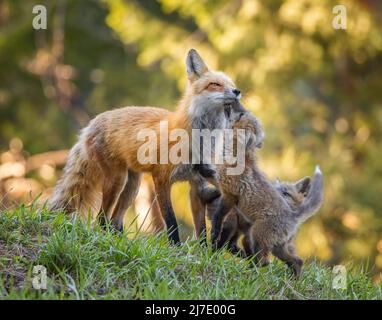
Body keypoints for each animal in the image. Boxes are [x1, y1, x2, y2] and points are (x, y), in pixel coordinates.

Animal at [49, 49, 243, 242]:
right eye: (215, 84)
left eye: (231, 84)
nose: (237, 91)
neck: (197, 140)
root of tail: (90, 124)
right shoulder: (161, 179)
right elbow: (171, 221)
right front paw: (176, 246)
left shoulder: (197, 183)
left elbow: (201, 229)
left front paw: (202, 249)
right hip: (118, 180)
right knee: (102, 219)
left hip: (132, 186)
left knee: (115, 221)